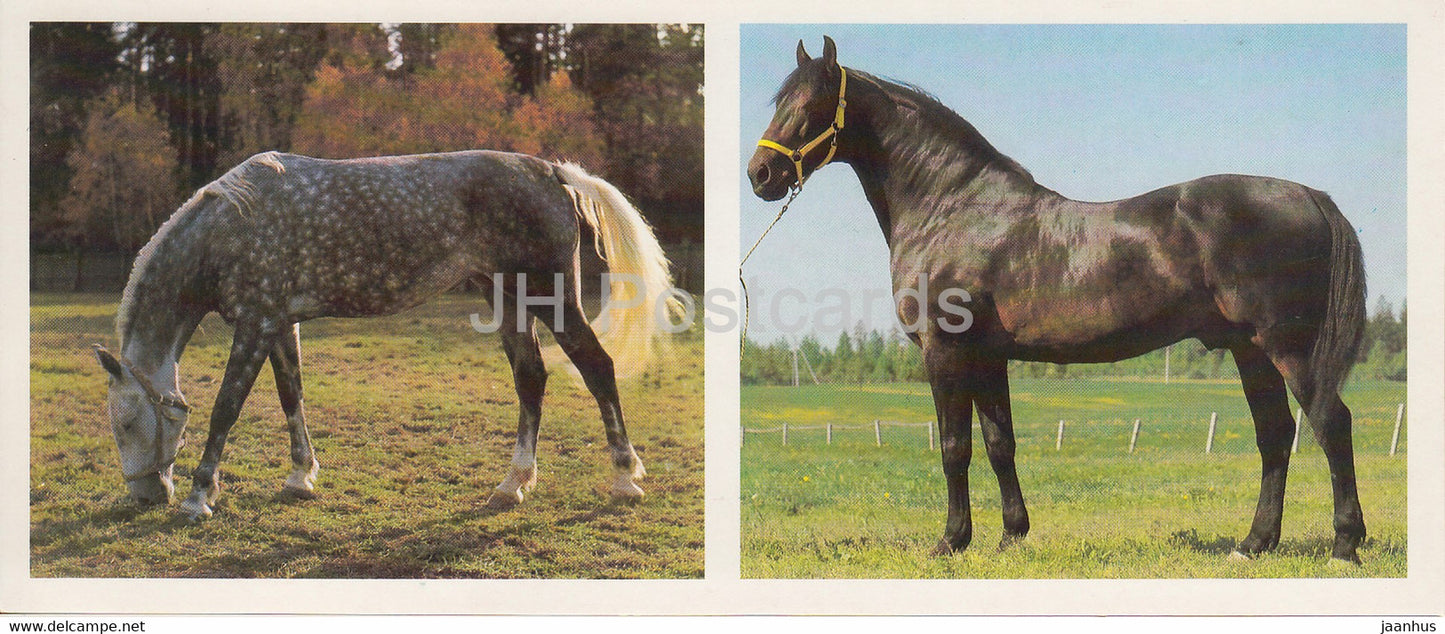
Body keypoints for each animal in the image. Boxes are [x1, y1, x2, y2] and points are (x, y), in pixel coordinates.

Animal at [93, 150, 680, 520]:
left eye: (126, 422)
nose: (145, 496)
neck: (231, 225)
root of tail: (553, 172)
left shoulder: (255, 325)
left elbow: (226, 408)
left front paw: (199, 497)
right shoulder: (280, 324)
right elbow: (291, 395)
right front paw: (300, 477)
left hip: (551, 299)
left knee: (596, 367)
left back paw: (625, 478)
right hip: (507, 299)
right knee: (531, 378)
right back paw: (513, 484)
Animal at [747, 37, 1369, 563]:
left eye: (811, 103)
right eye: (780, 100)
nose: (761, 174)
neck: (952, 206)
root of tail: (1309, 196)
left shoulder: (945, 351)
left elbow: (954, 446)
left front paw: (951, 542)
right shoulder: (987, 356)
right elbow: (999, 443)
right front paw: (1011, 535)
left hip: (1288, 348)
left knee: (1330, 423)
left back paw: (1344, 545)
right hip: (1250, 350)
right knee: (1277, 435)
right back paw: (1254, 544)